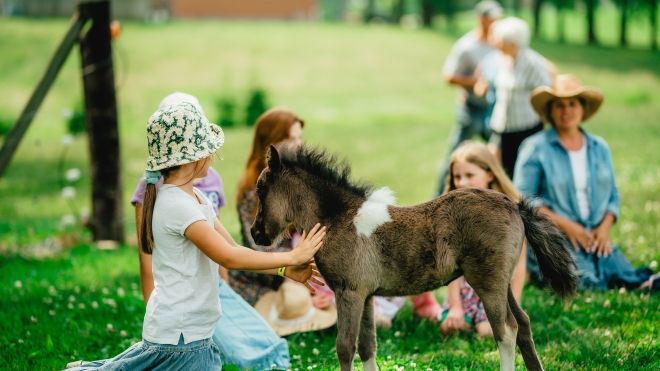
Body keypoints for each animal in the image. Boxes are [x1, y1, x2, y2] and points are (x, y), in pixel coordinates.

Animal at [253, 146, 576, 371]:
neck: (337, 218)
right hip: (502, 284)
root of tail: (513, 205)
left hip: (488, 283)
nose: (256, 234)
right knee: (523, 324)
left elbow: (345, 347)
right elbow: (368, 346)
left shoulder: (349, 293)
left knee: (506, 330)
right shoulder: (366, 296)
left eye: (261, 189)